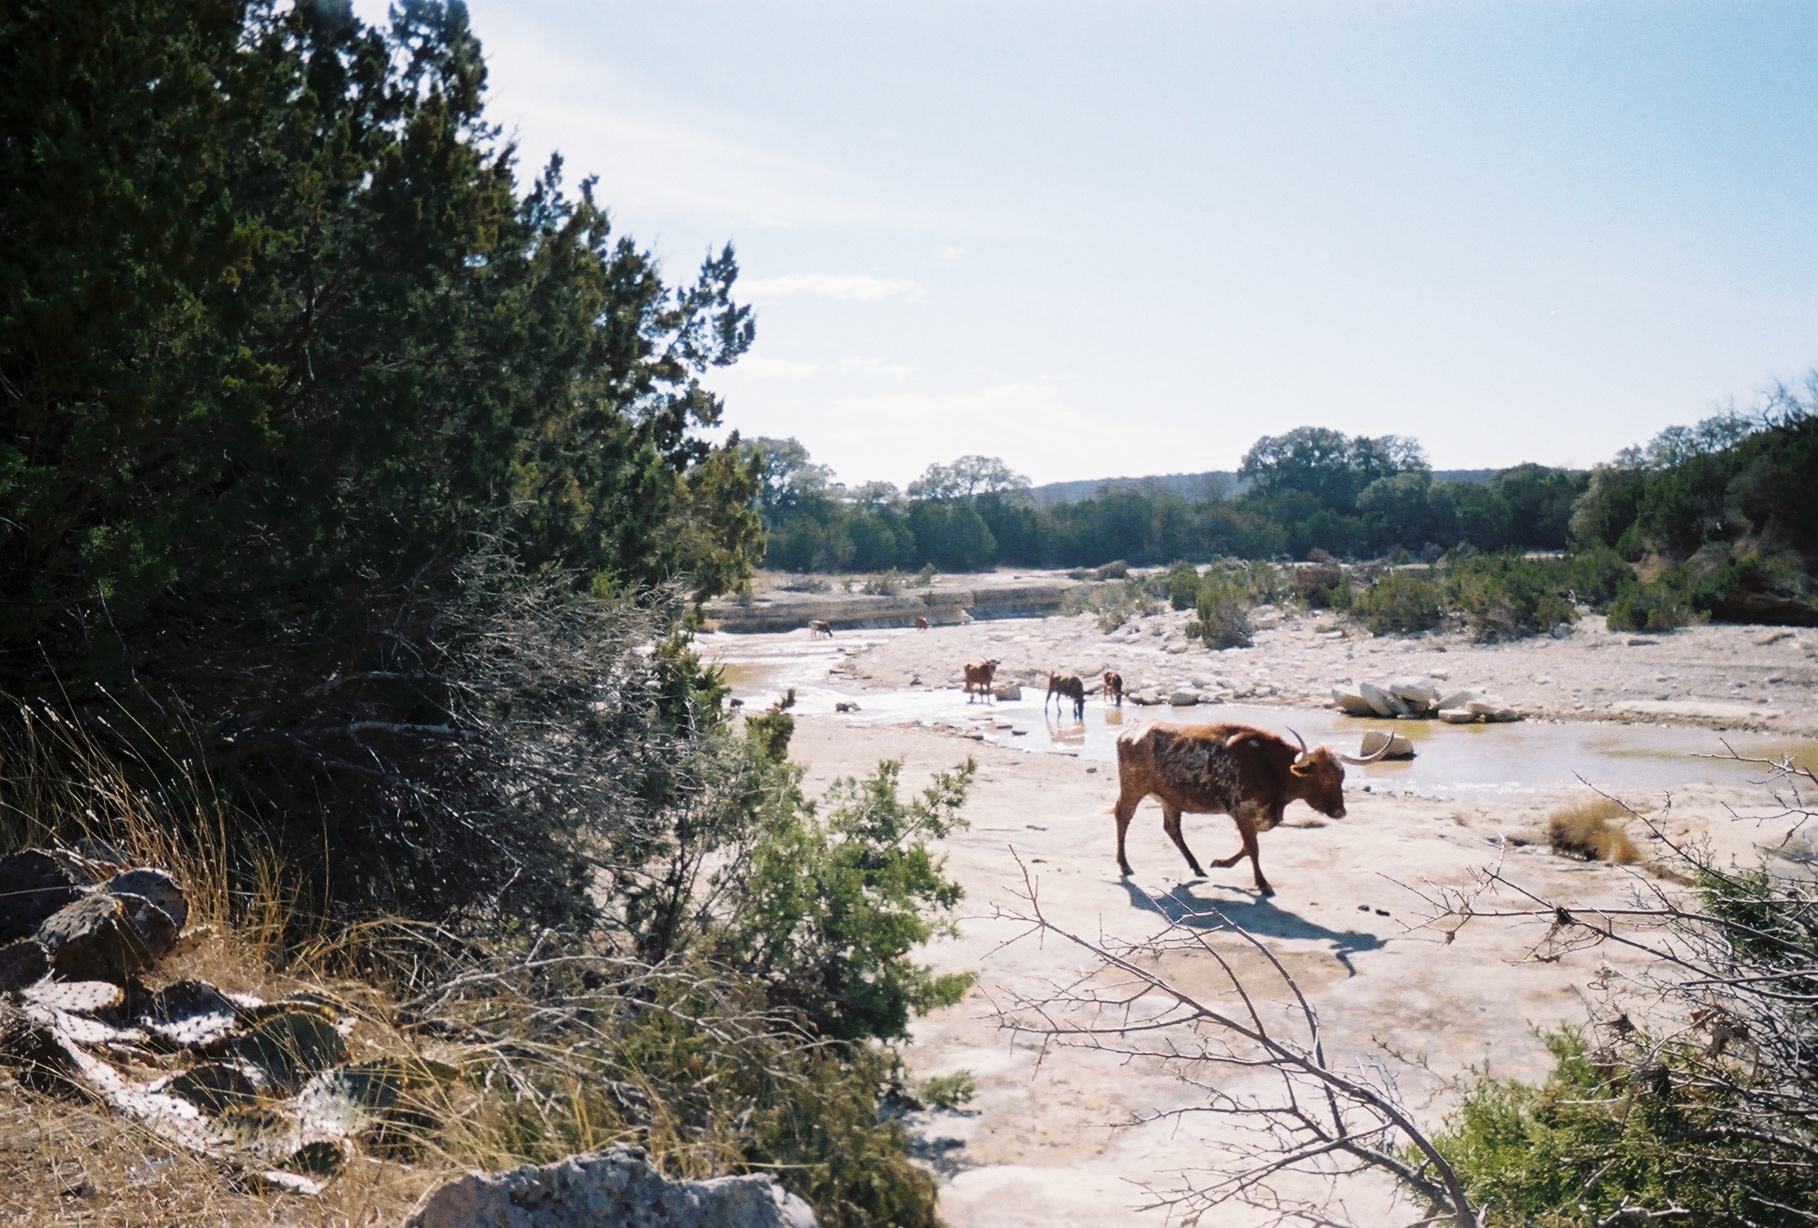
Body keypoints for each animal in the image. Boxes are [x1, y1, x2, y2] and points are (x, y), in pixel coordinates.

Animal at [1105, 720, 1388, 895]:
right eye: (1323, 778)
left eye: (1341, 776)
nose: (1341, 812)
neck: (1271, 767)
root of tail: (1130, 731)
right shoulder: (1242, 811)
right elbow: (1253, 847)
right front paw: (1262, 884)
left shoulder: (1256, 816)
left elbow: (1246, 845)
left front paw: (1220, 863)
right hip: (1132, 788)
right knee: (1123, 816)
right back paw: (1124, 865)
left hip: (1170, 799)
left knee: (1172, 829)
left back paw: (1197, 867)